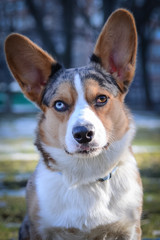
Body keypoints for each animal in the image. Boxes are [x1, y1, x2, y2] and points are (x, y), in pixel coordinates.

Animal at [4, 8, 142, 239]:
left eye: (101, 99)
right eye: (59, 104)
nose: (83, 134)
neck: (87, 175)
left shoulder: (129, 229)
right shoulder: (41, 229)